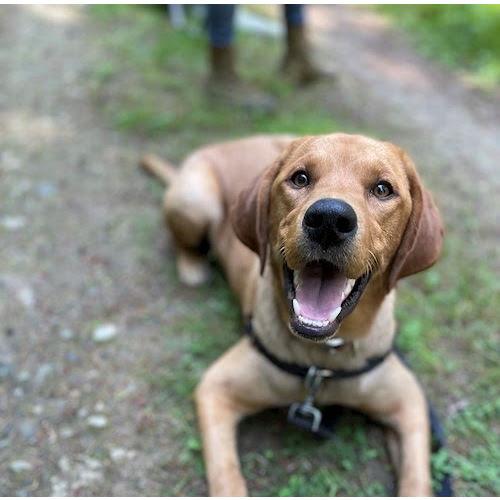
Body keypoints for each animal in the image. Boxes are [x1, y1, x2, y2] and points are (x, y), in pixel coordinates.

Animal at [140, 133, 442, 496]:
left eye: (383, 188)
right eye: (300, 178)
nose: (329, 220)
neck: (322, 358)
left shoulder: (410, 405)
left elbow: (417, 480)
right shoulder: (215, 389)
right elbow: (226, 477)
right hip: (194, 199)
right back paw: (192, 266)